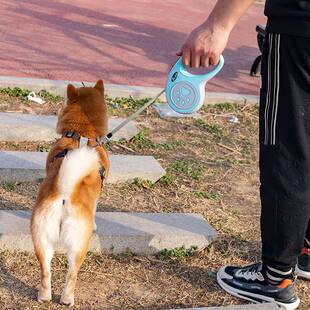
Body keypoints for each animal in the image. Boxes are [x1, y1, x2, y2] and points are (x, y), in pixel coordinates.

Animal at [31, 80, 109, 306]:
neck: (82, 137)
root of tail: (65, 193)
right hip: (79, 246)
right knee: (72, 274)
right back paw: (67, 299)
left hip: (41, 240)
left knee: (45, 272)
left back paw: (44, 296)